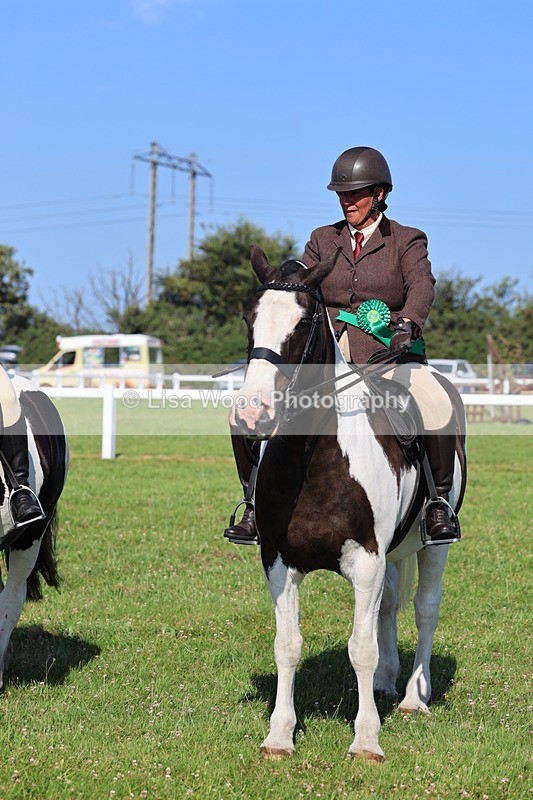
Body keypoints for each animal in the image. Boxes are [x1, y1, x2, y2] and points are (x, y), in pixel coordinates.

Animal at [232, 246, 467, 761]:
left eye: (303, 321)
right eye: (249, 318)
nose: (252, 413)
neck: (315, 457)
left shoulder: (367, 561)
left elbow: (360, 647)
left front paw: (366, 740)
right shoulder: (279, 562)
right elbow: (288, 645)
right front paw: (279, 735)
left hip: (433, 545)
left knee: (425, 608)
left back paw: (414, 697)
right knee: (391, 608)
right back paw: (386, 684)